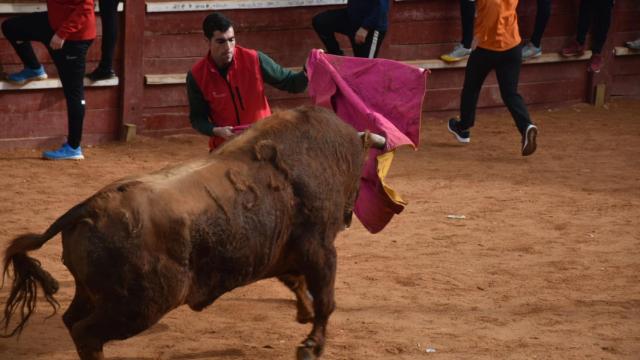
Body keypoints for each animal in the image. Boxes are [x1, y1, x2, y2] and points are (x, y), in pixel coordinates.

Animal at [0, 106, 384, 360]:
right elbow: (325, 298)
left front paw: (303, 314)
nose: (350, 215)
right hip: (142, 305)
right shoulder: (320, 249)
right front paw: (311, 345)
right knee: (87, 333)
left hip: (93, 292)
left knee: (72, 320)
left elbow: (297, 283)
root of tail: (90, 207)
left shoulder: (282, 252)